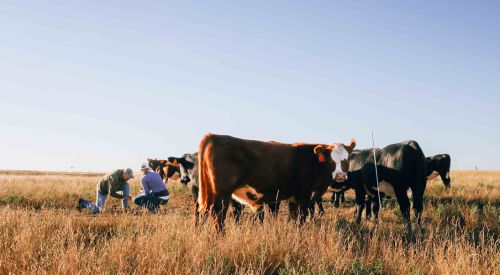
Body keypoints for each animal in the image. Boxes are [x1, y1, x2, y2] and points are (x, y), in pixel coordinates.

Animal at [195, 134, 356, 233]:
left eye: (347, 159)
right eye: (331, 160)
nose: (340, 175)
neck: (313, 161)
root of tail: (213, 136)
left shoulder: (294, 198)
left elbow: (293, 218)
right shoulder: (303, 196)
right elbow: (301, 218)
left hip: (208, 190)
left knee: (201, 209)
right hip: (222, 192)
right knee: (217, 214)